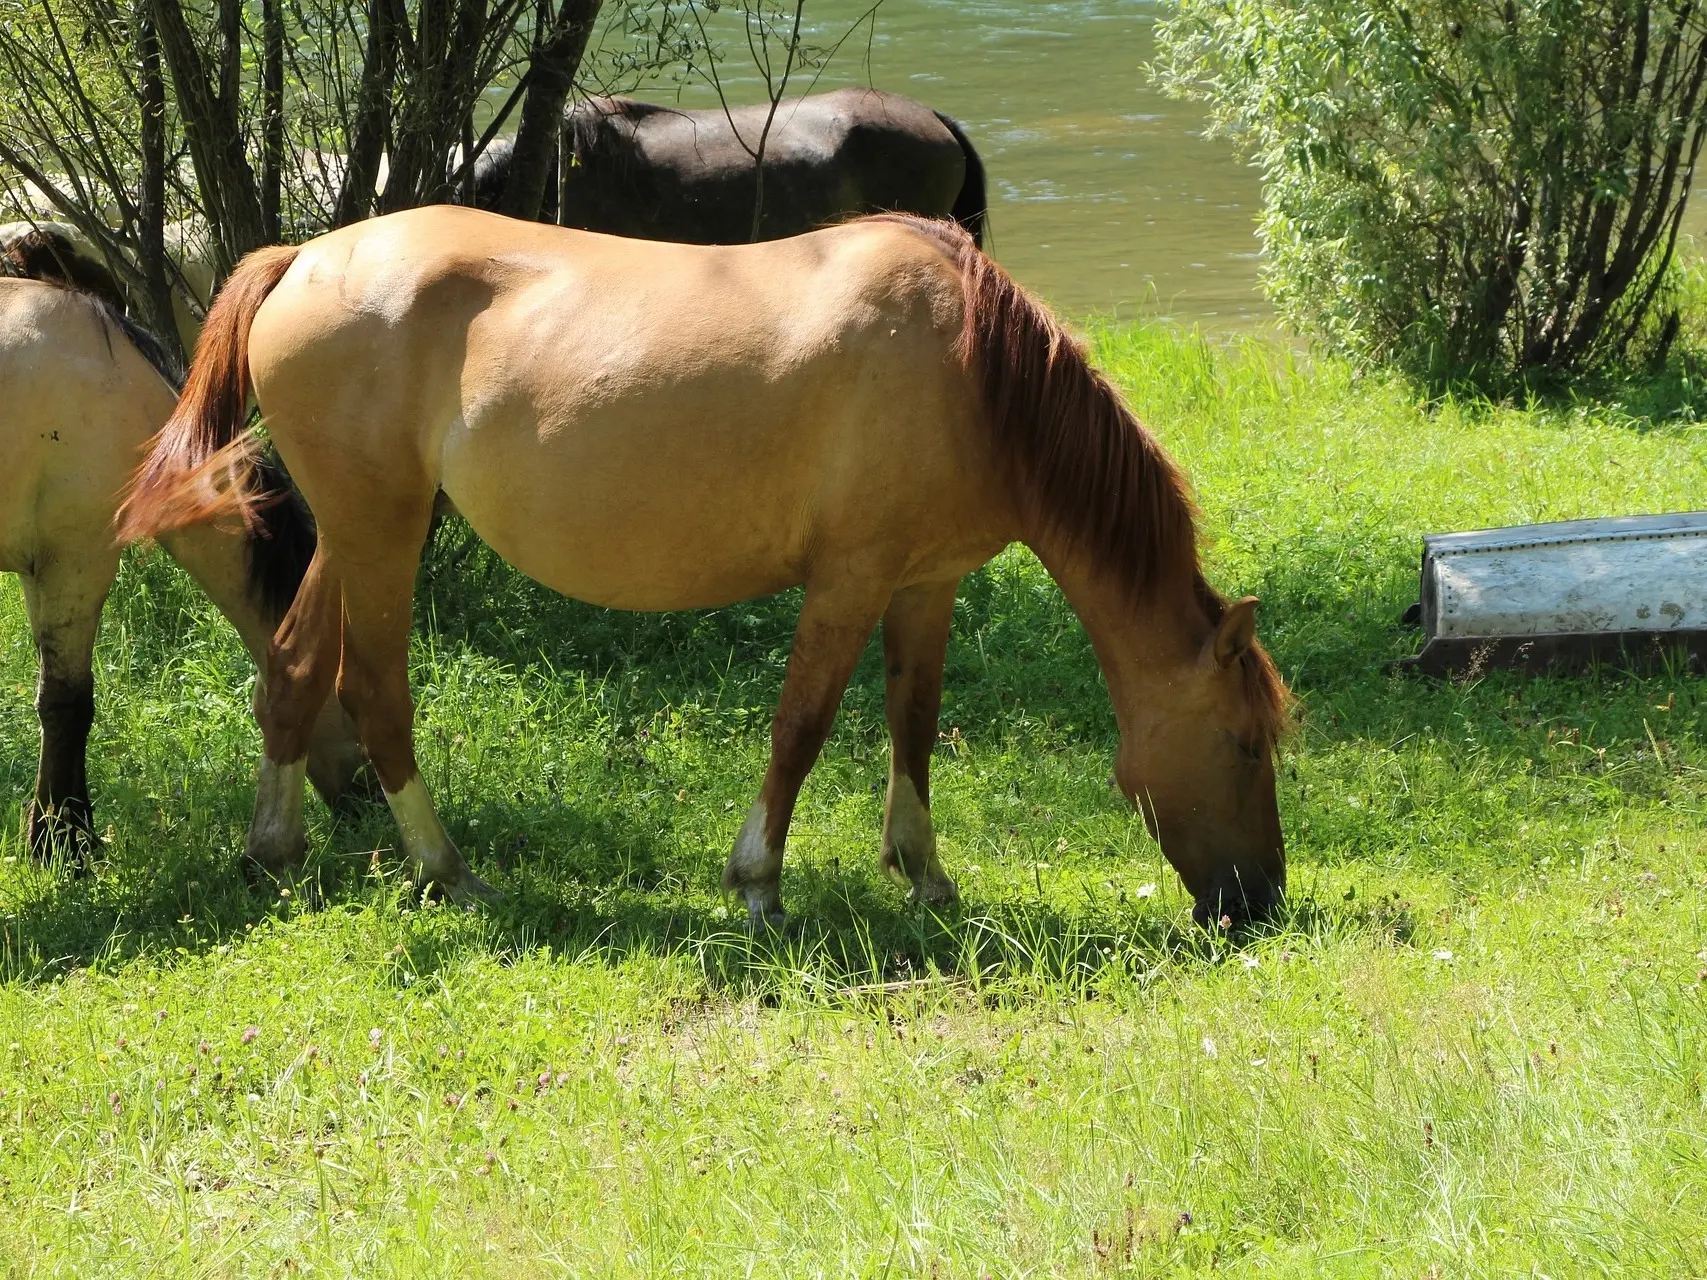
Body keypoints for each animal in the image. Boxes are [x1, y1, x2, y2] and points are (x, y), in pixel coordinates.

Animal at [120, 208, 1283, 935]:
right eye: (1243, 742)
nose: (1258, 901)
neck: (969, 368)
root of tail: (304, 258)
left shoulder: (925, 583)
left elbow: (912, 723)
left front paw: (924, 874)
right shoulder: (851, 579)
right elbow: (802, 727)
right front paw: (759, 883)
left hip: (359, 532)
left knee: (290, 669)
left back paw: (274, 848)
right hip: (382, 534)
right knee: (372, 690)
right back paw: (444, 870)